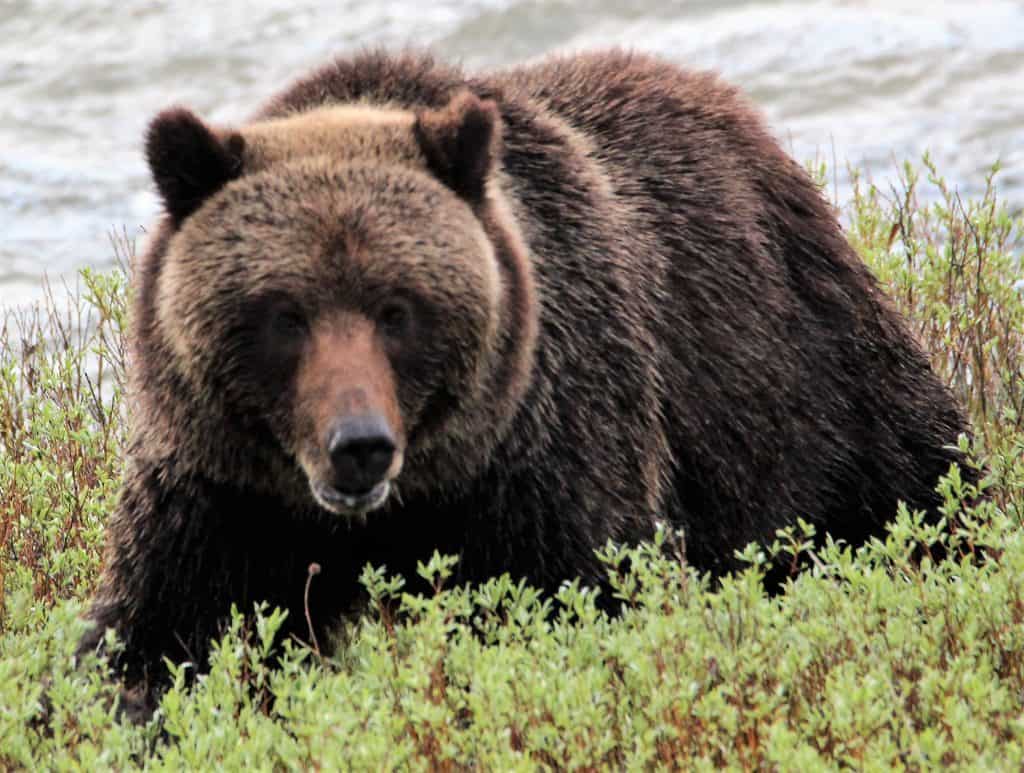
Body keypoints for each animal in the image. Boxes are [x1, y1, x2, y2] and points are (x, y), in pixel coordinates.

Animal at [78, 49, 972, 711]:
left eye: (397, 308)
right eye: (285, 313)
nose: (358, 445)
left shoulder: (548, 445)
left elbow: (579, 596)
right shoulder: (219, 485)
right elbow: (161, 634)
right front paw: (134, 702)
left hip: (790, 367)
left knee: (907, 487)